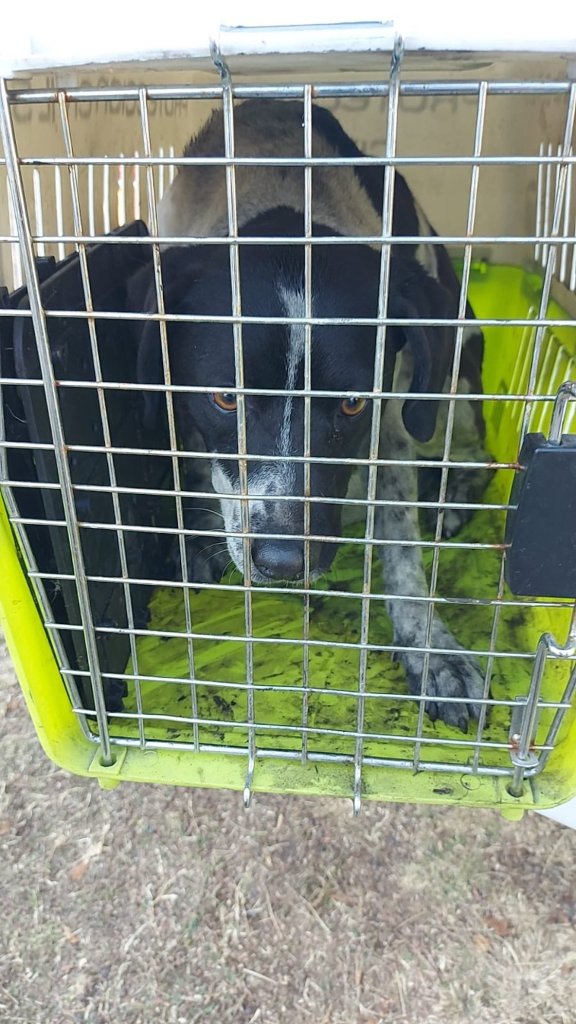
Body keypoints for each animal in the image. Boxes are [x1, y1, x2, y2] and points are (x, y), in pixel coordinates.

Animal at [131, 99, 487, 733]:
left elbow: (399, 540)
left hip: (454, 384)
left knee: (480, 449)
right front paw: (199, 534)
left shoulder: (391, 423)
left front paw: (430, 648)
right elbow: (198, 458)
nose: (282, 563)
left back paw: (457, 497)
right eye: (226, 399)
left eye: (351, 403)